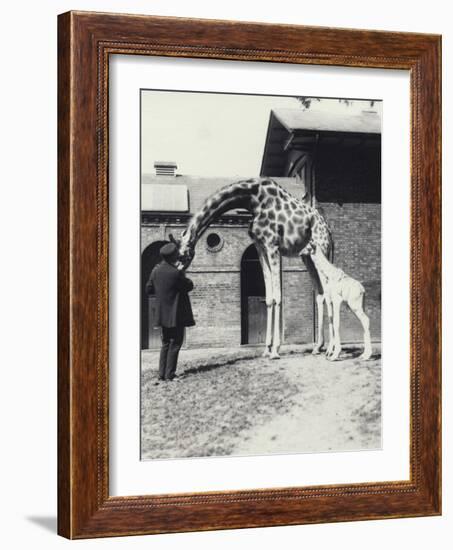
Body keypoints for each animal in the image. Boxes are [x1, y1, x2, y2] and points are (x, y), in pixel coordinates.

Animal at [170, 177, 332, 358]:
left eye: (183, 256)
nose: (176, 275)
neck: (253, 199)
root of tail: (328, 230)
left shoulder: (273, 246)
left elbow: (278, 296)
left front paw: (275, 350)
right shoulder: (260, 247)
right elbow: (269, 298)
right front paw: (266, 349)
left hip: (321, 250)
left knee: (329, 291)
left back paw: (331, 348)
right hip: (308, 256)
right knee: (320, 294)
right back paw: (318, 347)